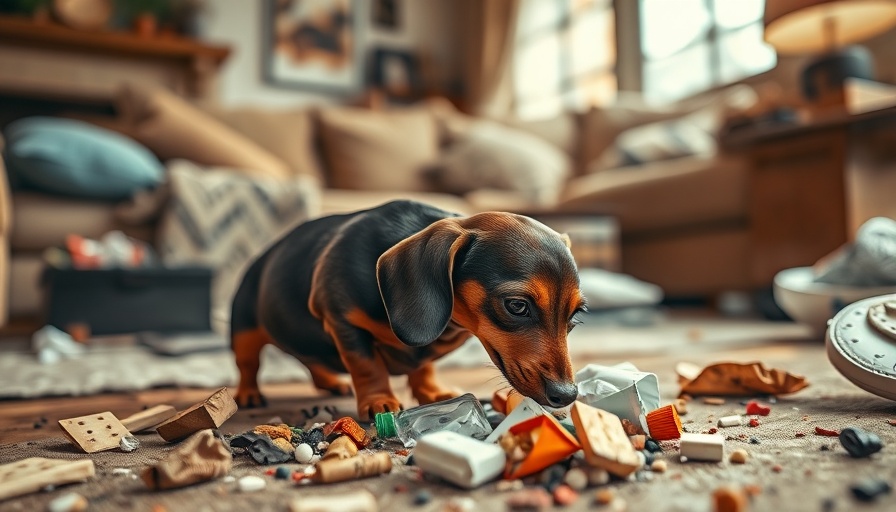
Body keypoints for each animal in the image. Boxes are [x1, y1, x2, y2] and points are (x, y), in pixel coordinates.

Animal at [231, 198, 588, 418]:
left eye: (575, 315)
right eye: (516, 306)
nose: (567, 395)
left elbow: (423, 365)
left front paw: (432, 391)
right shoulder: (339, 318)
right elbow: (366, 365)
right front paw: (378, 401)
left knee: (311, 359)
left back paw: (331, 382)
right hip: (244, 331)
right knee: (248, 365)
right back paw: (247, 394)